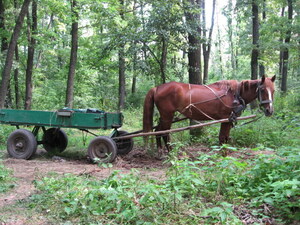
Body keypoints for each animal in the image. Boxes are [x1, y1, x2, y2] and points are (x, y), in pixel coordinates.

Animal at [143, 75, 276, 149]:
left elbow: (225, 139)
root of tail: (157, 88)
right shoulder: (226, 120)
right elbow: (222, 138)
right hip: (168, 115)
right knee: (165, 133)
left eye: (273, 90)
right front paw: (223, 156)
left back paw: (160, 151)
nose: (269, 110)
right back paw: (171, 154)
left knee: (158, 131)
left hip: (164, 116)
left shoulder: (228, 120)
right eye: (262, 89)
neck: (235, 94)